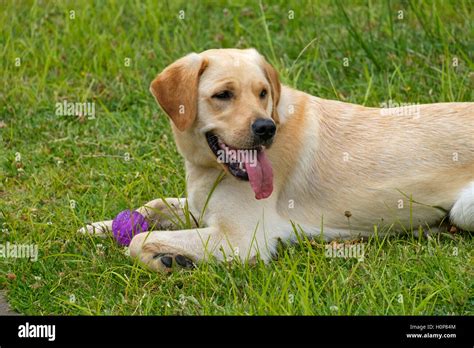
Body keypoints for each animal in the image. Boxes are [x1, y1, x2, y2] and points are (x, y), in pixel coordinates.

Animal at [79, 49, 472, 272]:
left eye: (262, 93)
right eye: (223, 95)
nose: (266, 128)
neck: (209, 168)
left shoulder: (241, 238)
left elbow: (137, 241)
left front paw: (170, 259)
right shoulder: (201, 206)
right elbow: (152, 206)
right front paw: (97, 227)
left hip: (464, 210)